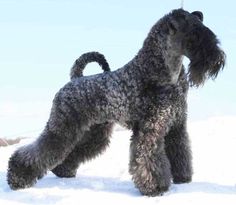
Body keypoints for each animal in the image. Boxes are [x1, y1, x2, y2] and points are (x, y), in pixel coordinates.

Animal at [6, 8, 225, 196]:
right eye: (194, 34)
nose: (218, 58)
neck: (159, 72)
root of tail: (74, 80)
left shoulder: (176, 126)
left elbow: (180, 151)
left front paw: (182, 178)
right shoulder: (150, 128)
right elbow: (148, 157)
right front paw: (155, 187)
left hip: (95, 132)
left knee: (72, 151)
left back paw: (63, 171)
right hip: (62, 128)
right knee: (38, 150)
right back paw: (17, 178)